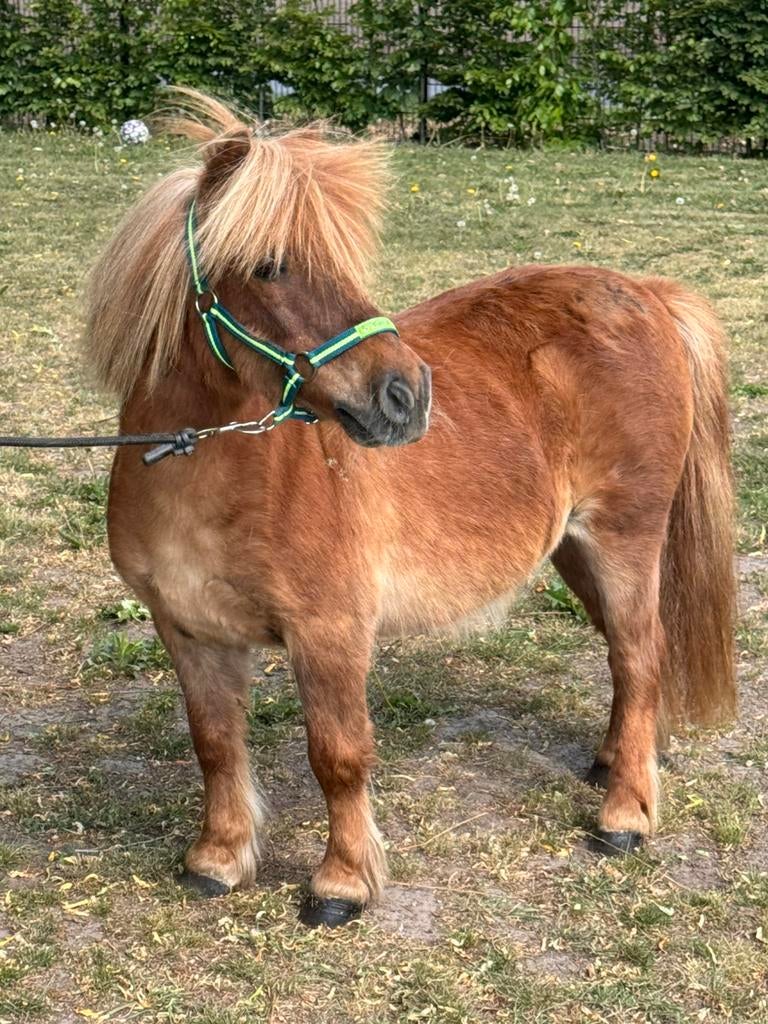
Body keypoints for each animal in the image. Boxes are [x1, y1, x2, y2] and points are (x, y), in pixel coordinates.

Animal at [84, 90, 736, 928]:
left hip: (625, 539)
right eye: (269, 265)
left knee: (640, 654)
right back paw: (615, 762)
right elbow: (216, 744)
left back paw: (623, 814)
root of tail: (650, 294)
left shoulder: (329, 633)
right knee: (629, 665)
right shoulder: (191, 633)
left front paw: (341, 883)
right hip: (574, 549)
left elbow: (337, 755)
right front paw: (219, 860)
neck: (203, 468)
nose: (406, 395)